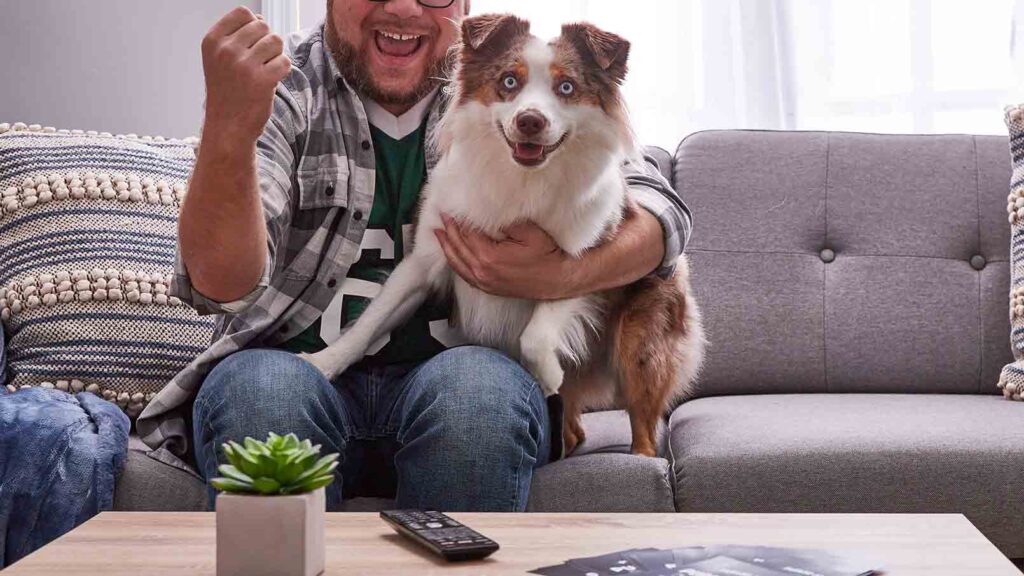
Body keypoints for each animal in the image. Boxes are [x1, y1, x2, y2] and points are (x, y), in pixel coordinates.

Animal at [299, 13, 708, 455]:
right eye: (509, 81)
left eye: (567, 88)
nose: (530, 120)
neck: (523, 179)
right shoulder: (425, 260)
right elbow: (370, 322)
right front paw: (323, 363)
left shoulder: (583, 262)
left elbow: (537, 332)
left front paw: (546, 374)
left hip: (641, 347)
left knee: (644, 425)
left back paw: (637, 452)